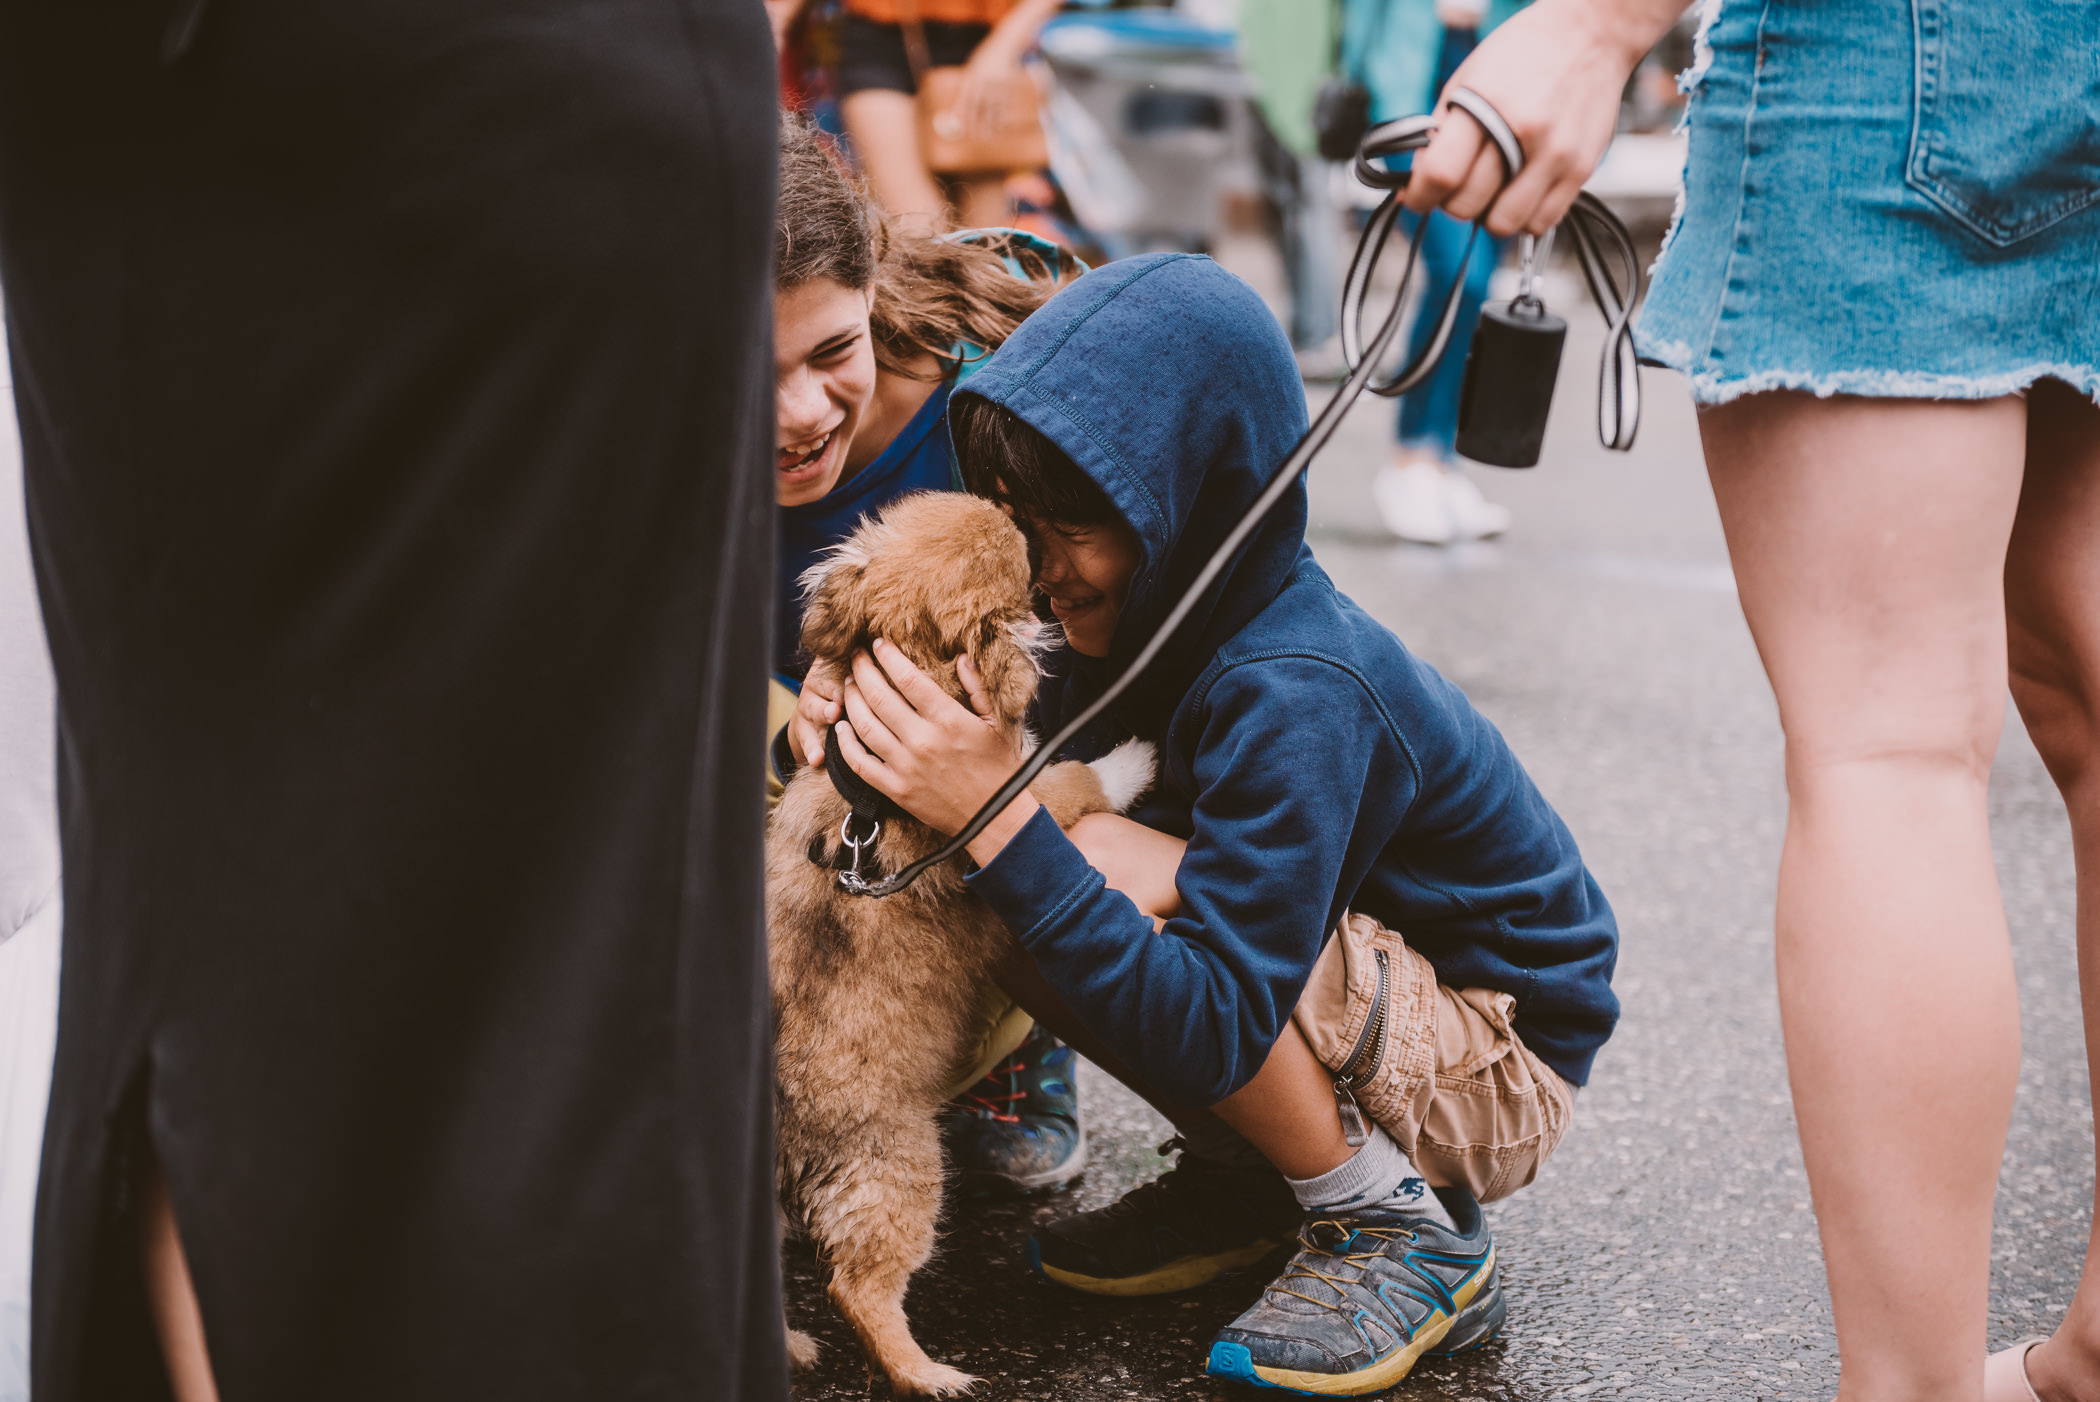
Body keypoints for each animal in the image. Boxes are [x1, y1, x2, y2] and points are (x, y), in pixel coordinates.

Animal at [768, 491, 1150, 1393]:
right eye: (1022, 552)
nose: (1017, 509)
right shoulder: (1018, 795)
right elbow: (1078, 776)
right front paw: (1137, 759)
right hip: (901, 1174)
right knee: (857, 1289)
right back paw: (927, 1372)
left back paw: (789, 1347)